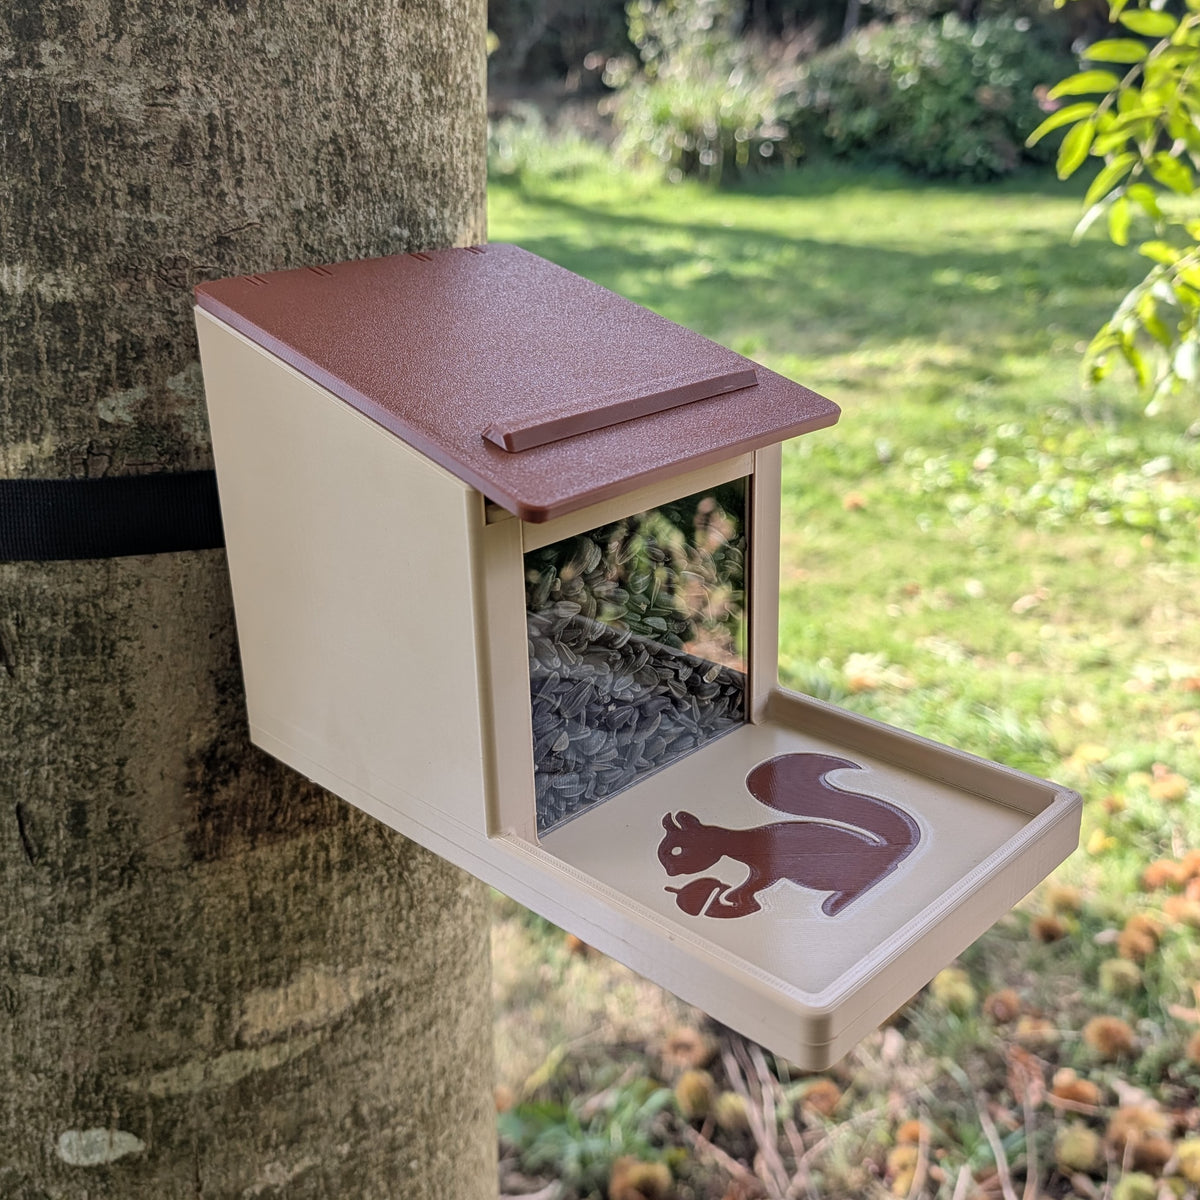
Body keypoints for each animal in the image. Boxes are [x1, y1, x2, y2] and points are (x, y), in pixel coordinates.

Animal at [657, 752, 920, 919]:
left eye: (677, 851)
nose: (669, 872)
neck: (737, 841)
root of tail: (887, 850)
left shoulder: (769, 868)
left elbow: (756, 884)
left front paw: (734, 895)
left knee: (865, 884)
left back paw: (834, 905)